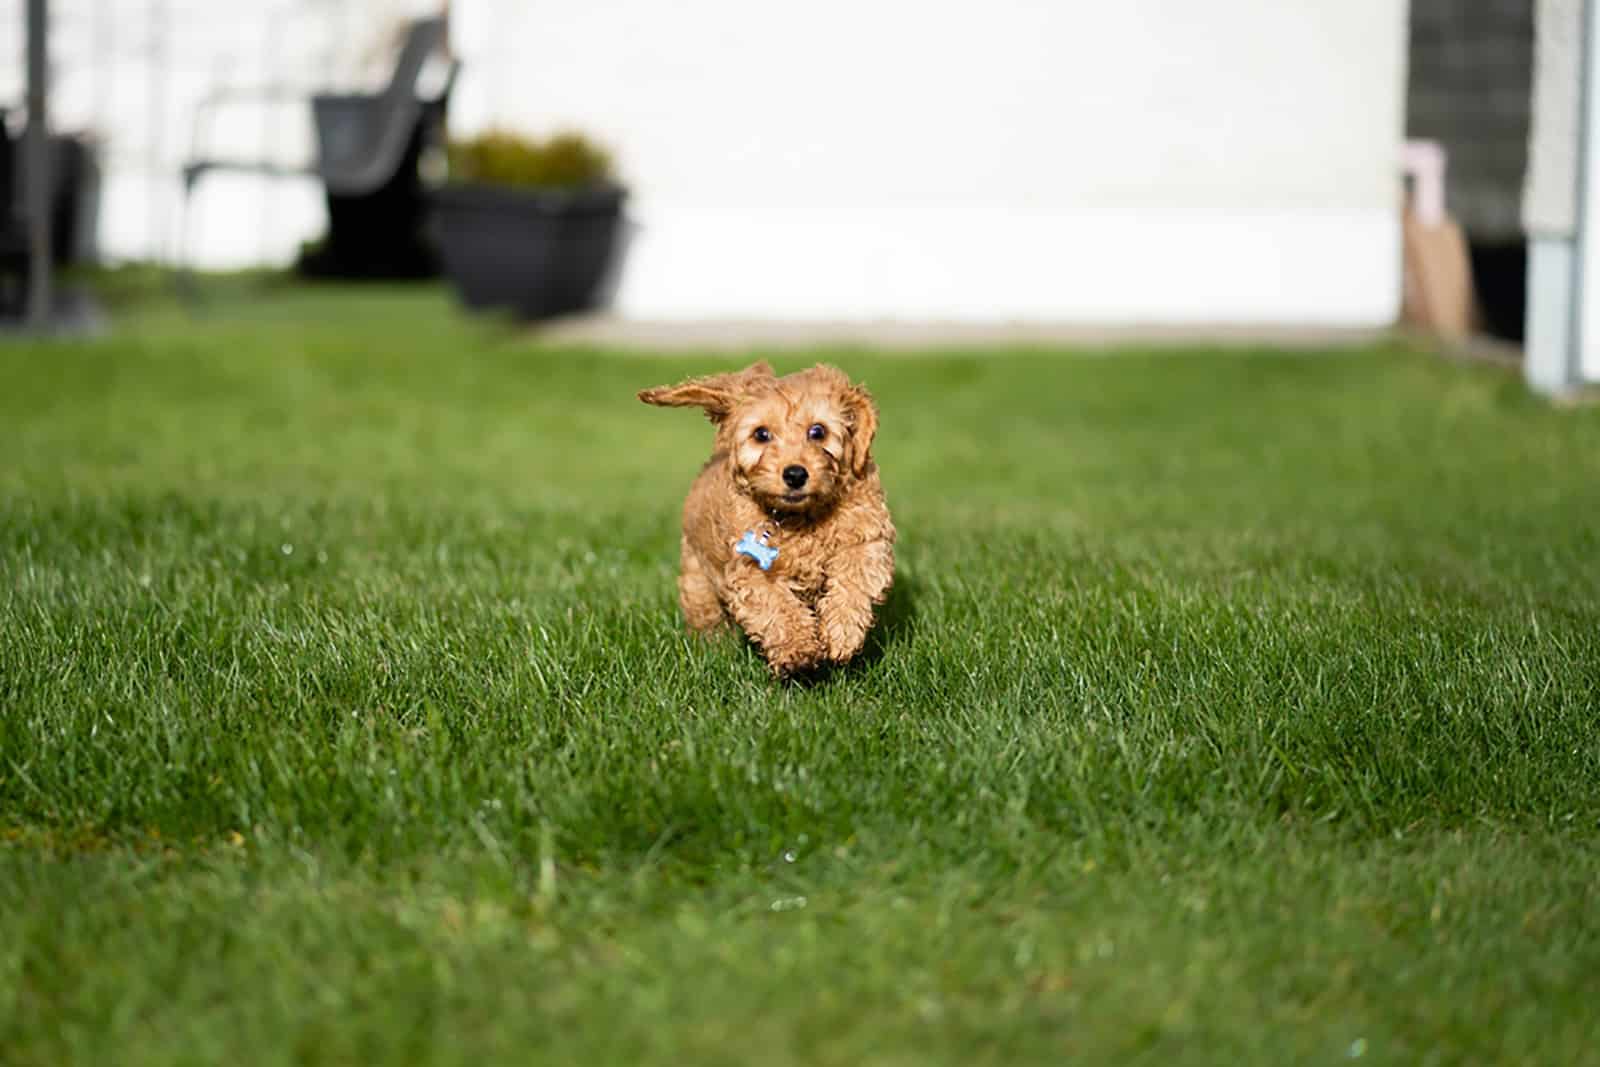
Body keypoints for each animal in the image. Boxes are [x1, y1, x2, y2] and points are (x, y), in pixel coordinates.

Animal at [636, 361, 896, 675]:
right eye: (761, 434)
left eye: (818, 431)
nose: (795, 474)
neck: (800, 518)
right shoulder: (750, 569)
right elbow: (776, 605)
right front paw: (798, 649)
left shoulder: (866, 536)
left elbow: (855, 579)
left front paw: (841, 635)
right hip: (697, 576)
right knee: (706, 616)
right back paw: (714, 650)